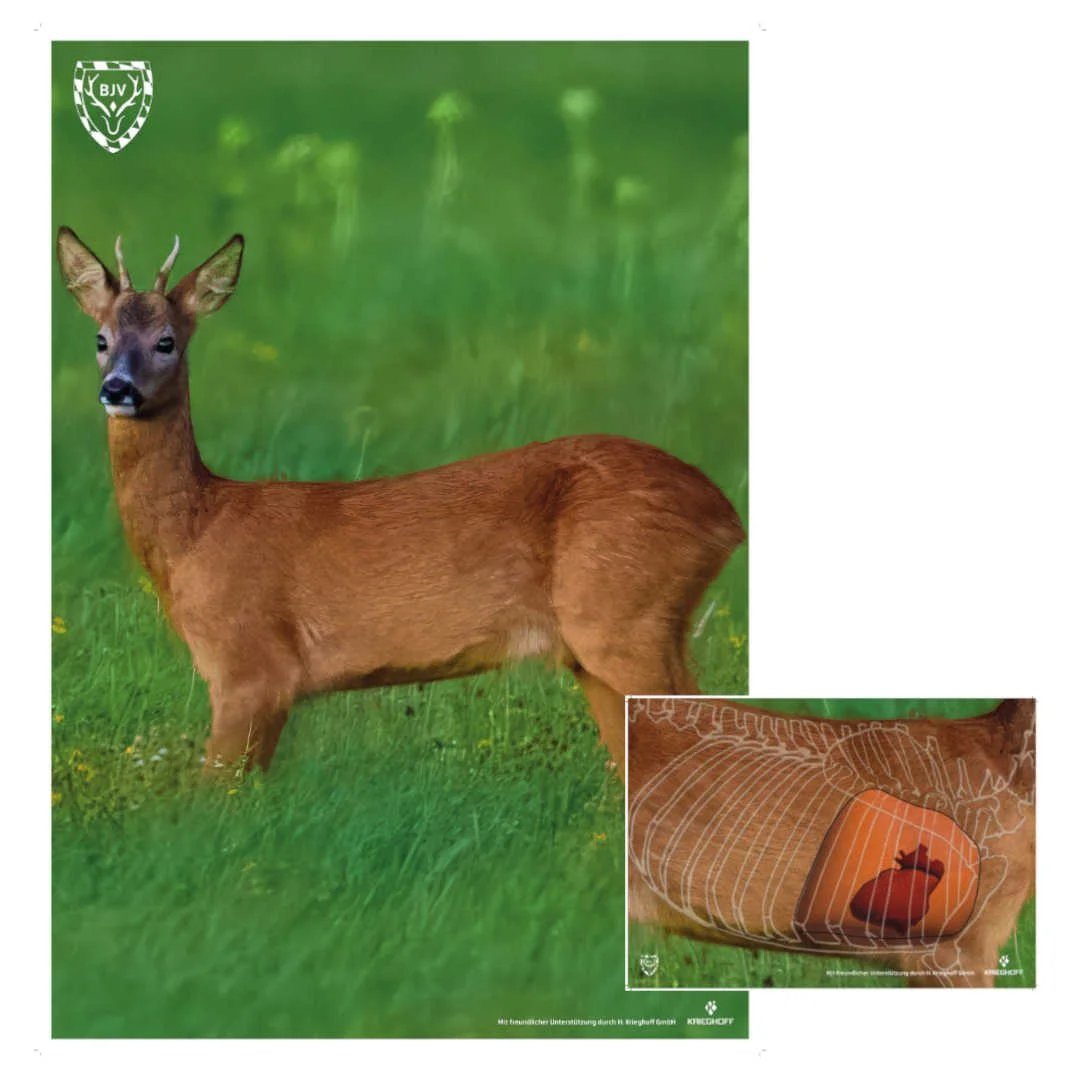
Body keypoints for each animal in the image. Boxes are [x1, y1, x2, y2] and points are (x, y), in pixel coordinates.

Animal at [55, 228, 745, 779]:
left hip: (625, 616)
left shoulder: (251, 666)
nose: (117, 389)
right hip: (599, 647)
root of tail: (726, 515)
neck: (197, 533)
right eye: (99, 338)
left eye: (167, 341)